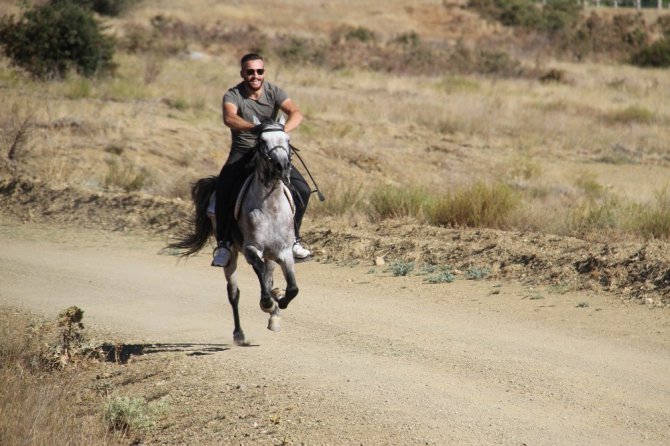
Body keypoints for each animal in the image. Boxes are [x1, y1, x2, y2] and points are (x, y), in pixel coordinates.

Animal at [171, 116, 300, 344]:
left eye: (287, 139)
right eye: (262, 141)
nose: (282, 166)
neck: (271, 206)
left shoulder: (284, 253)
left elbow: (293, 288)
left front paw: (279, 302)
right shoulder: (251, 249)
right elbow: (259, 272)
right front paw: (268, 303)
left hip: (270, 255)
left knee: (268, 277)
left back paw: (274, 309)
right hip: (232, 255)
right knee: (233, 293)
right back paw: (239, 333)